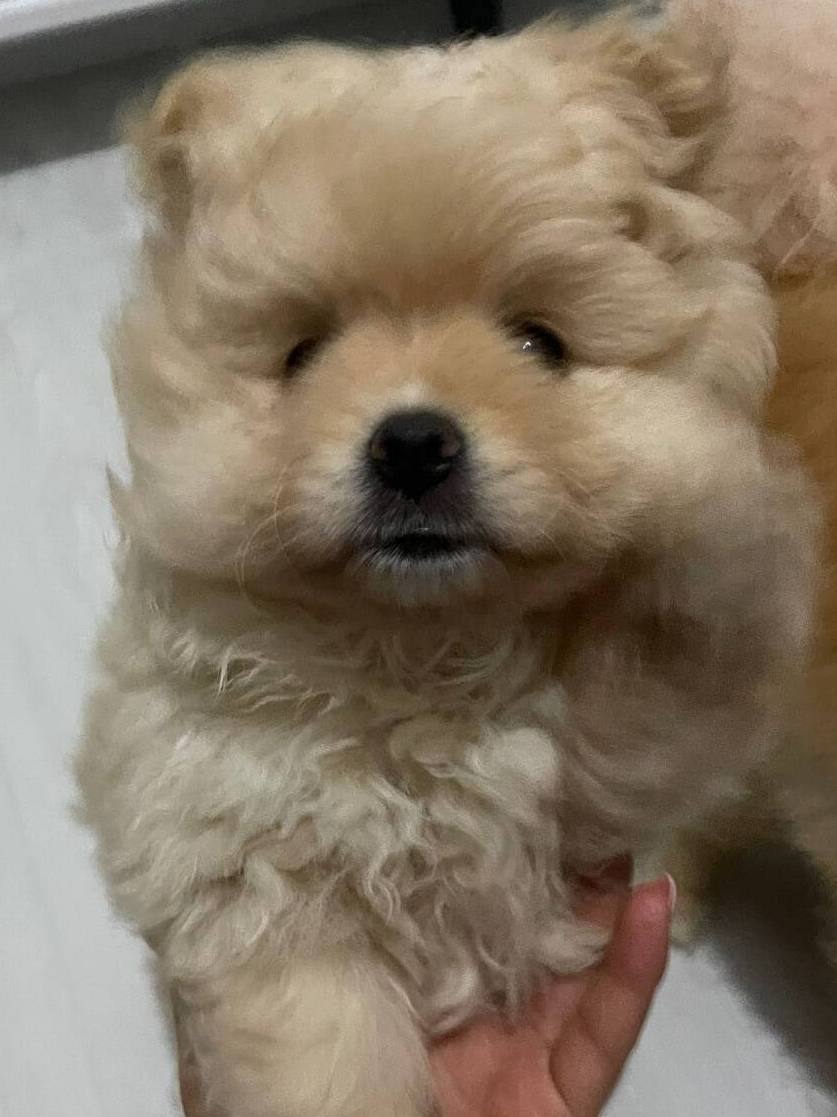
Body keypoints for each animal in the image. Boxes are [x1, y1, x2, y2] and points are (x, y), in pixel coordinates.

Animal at [76, 11, 819, 1115]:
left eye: (540, 343)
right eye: (302, 356)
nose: (414, 443)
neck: (420, 649)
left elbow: (674, 623)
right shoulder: (253, 865)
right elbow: (324, 1043)